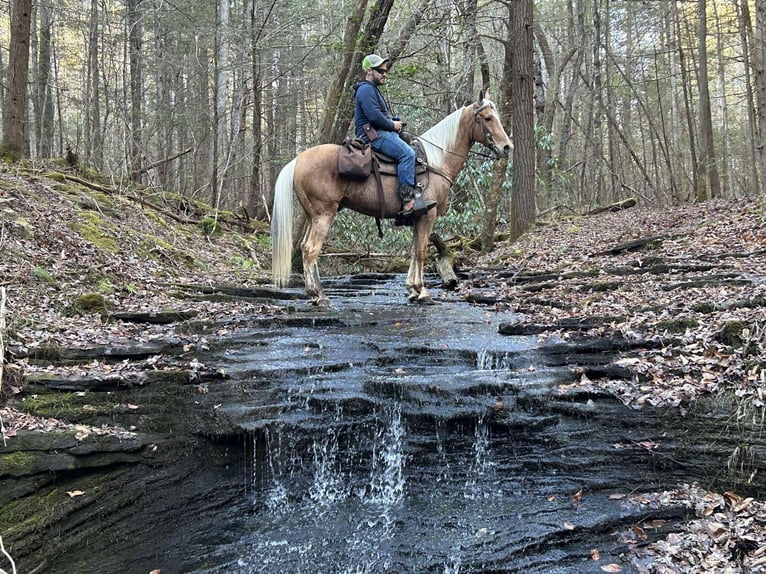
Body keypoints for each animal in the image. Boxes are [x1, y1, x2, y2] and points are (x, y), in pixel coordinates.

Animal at [272, 92, 512, 306]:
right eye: (488, 118)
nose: (507, 147)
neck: (435, 162)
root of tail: (298, 159)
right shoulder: (428, 215)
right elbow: (422, 251)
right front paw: (423, 292)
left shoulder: (417, 217)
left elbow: (414, 250)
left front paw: (413, 290)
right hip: (324, 214)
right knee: (312, 249)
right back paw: (320, 296)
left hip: (312, 215)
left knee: (304, 247)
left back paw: (313, 294)